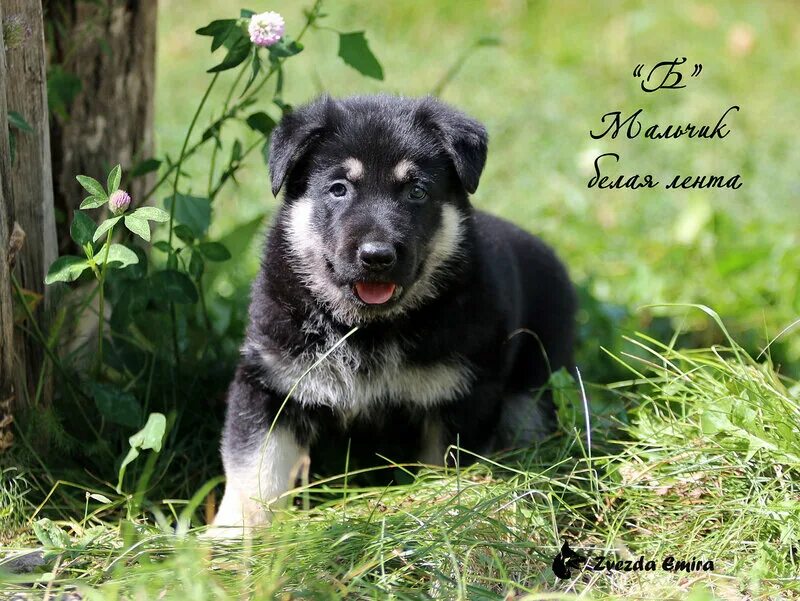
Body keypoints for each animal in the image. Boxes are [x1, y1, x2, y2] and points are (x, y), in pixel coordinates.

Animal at [211, 96, 576, 532]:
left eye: (417, 191)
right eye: (338, 189)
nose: (377, 257)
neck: (365, 329)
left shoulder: (461, 396)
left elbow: (445, 469)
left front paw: (442, 508)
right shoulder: (273, 382)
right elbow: (254, 471)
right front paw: (233, 535)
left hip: (539, 377)